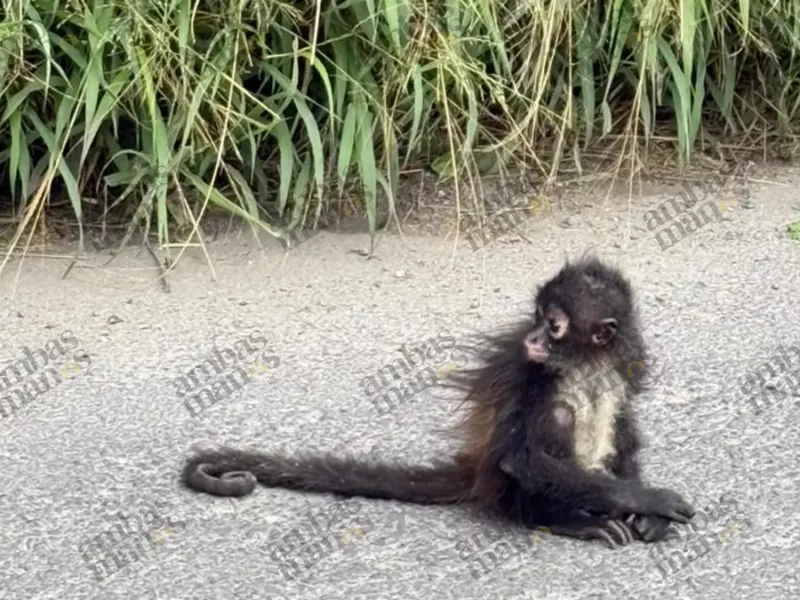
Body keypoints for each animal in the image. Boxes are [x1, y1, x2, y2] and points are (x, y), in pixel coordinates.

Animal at [181, 257, 695, 548]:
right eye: (536, 318)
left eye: (553, 325)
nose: (533, 337)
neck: (585, 361)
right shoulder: (527, 368)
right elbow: (521, 458)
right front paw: (649, 500)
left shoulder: (626, 361)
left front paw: (646, 513)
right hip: (505, 487)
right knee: (559, 418)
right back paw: (559, 518)